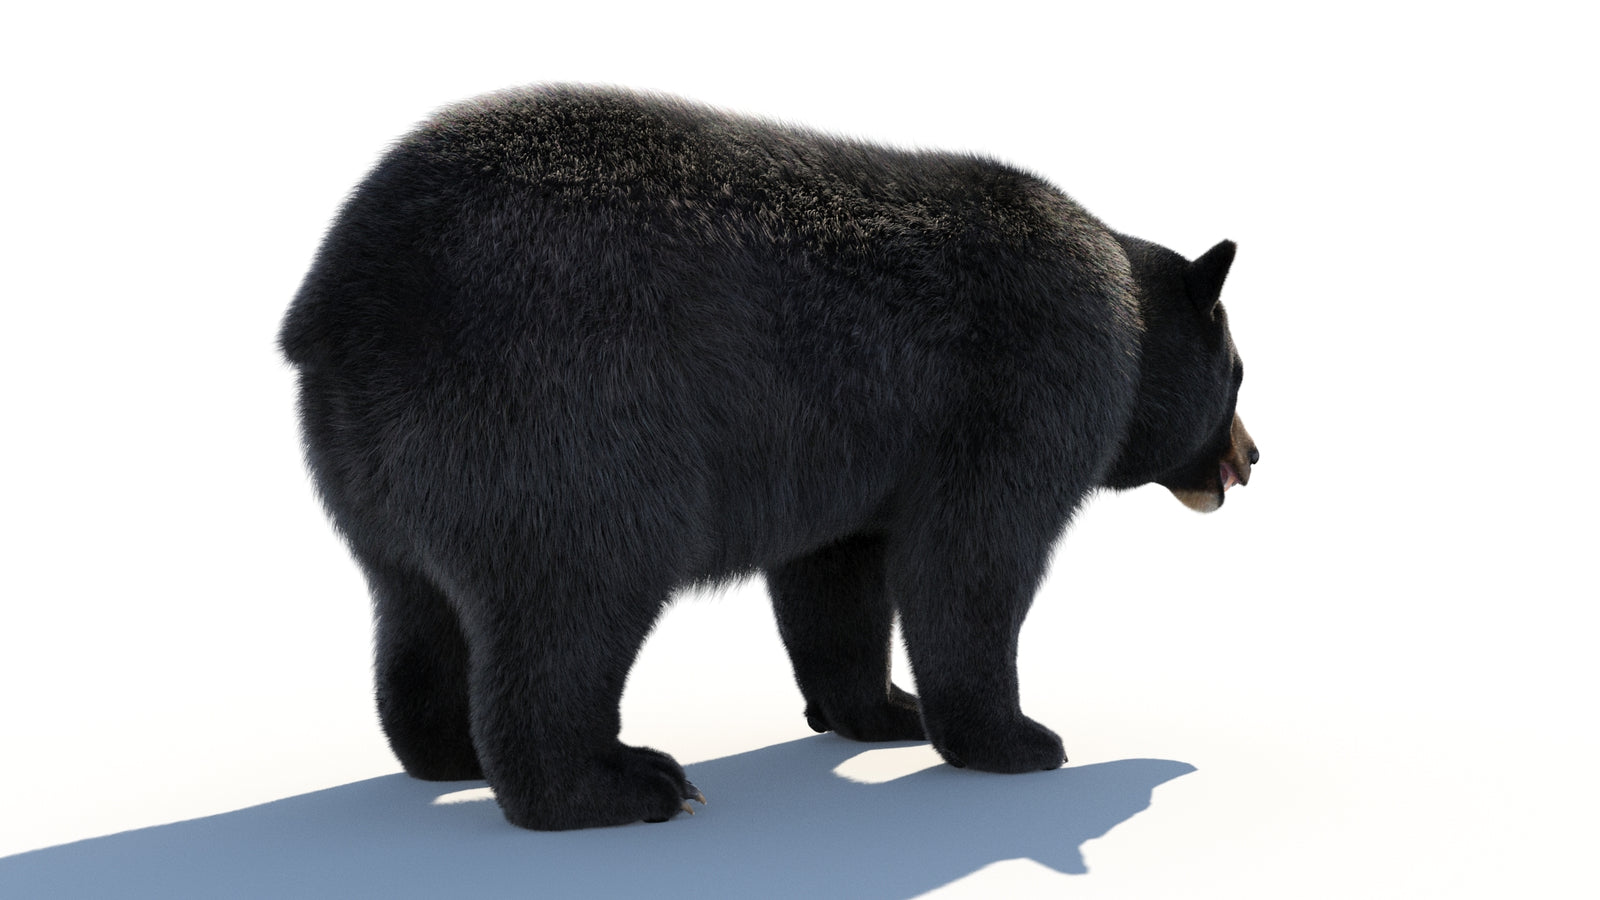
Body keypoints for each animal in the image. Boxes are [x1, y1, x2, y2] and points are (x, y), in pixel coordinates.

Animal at [279, 84, 1259, 831]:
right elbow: (972, 557)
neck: (1124, 310)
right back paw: (619, 785)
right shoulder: (1032, 378)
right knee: (571, 597)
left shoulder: (851, 452)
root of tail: (339, 303)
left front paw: (883, 710)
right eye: (1241, 373)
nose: (1253, 457)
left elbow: (836, 578)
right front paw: (1017, 739)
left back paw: (449, 752)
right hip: (562, 415)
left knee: (417, 603)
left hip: (382, 466)